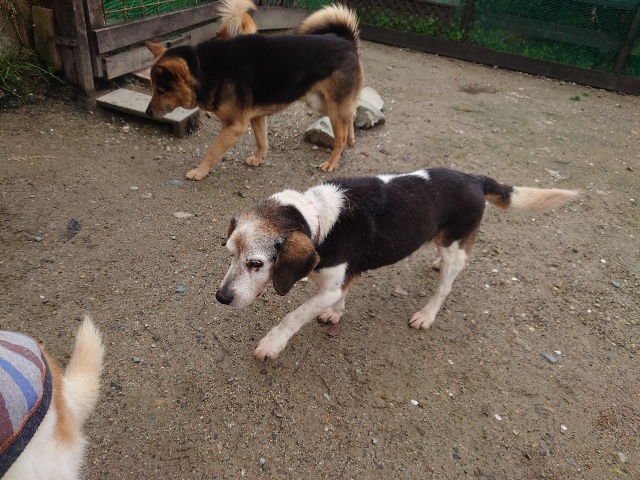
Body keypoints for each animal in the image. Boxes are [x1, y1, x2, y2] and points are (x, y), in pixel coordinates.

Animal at [145, 4, 364, 180]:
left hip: (334, 107)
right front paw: (259, 159)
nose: (148, 113)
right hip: (323, 104)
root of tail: (347, 42)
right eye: (154, 89)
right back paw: (352, 140)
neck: (203, 68)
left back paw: (332, 161)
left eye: (161, 91)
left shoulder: (234, 127)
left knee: (340, 137)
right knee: (350, 115)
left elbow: (212, 152)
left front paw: (199, 172)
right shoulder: (256, 117)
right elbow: (262, 142)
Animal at [215, 167, 578, 360]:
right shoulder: (339, 281)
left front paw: (272, 343)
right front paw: (335, 314)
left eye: (256, 264)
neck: (317, 219)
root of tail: (474, 178)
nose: (221, 298)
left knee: (446, 286)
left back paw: (427, 314)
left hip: (454, 249)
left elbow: (293, 315)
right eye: (230, 252)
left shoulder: (329, 286)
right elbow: (341, 296)